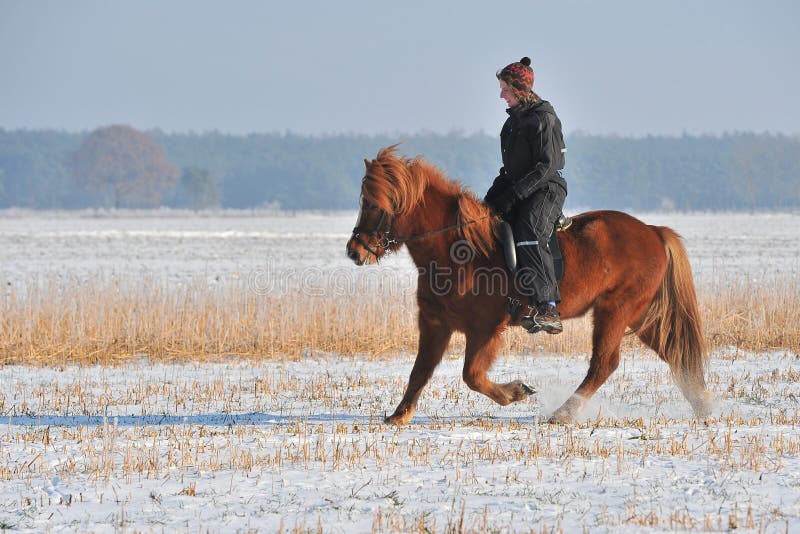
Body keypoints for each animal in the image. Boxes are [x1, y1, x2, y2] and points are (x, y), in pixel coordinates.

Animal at [346, 147, 708, 428]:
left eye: (375, 205)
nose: (355, 251)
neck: (455, 249)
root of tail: (653, 231)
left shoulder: (484, 330)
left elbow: (472, 375)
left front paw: (517, 391)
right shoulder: (435, 325)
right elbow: (420, 371)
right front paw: (399, 415)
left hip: (616, 310)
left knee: (605, 363)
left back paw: (563, 414)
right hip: (640, 315)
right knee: (675, 353)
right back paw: (703, 407)